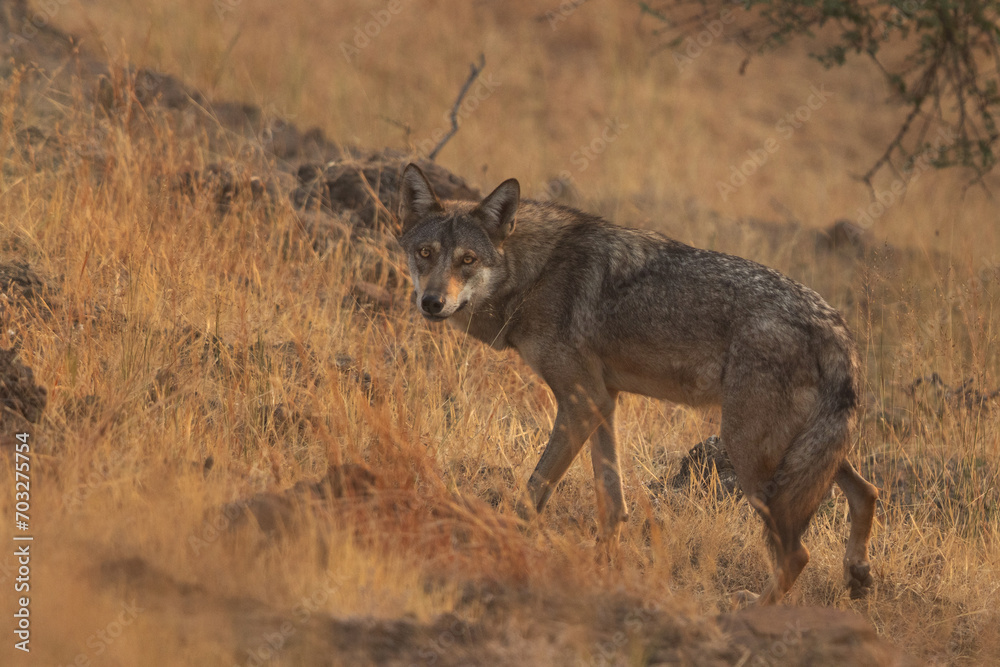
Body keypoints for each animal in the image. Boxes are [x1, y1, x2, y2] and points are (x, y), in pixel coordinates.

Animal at [397, 163, 878, 604]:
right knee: (867, 492)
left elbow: (533, 491)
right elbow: (612, 504)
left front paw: (505, 539)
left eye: (468, 260)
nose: (432, 302)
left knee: (798, 553)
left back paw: (754, 611)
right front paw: (602, 569)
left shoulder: (581, 402)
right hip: (796, 456)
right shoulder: (601, 401)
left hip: (748, 452)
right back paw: (857, 574)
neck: (538, 272)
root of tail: (838, 330)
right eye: (425, 253)